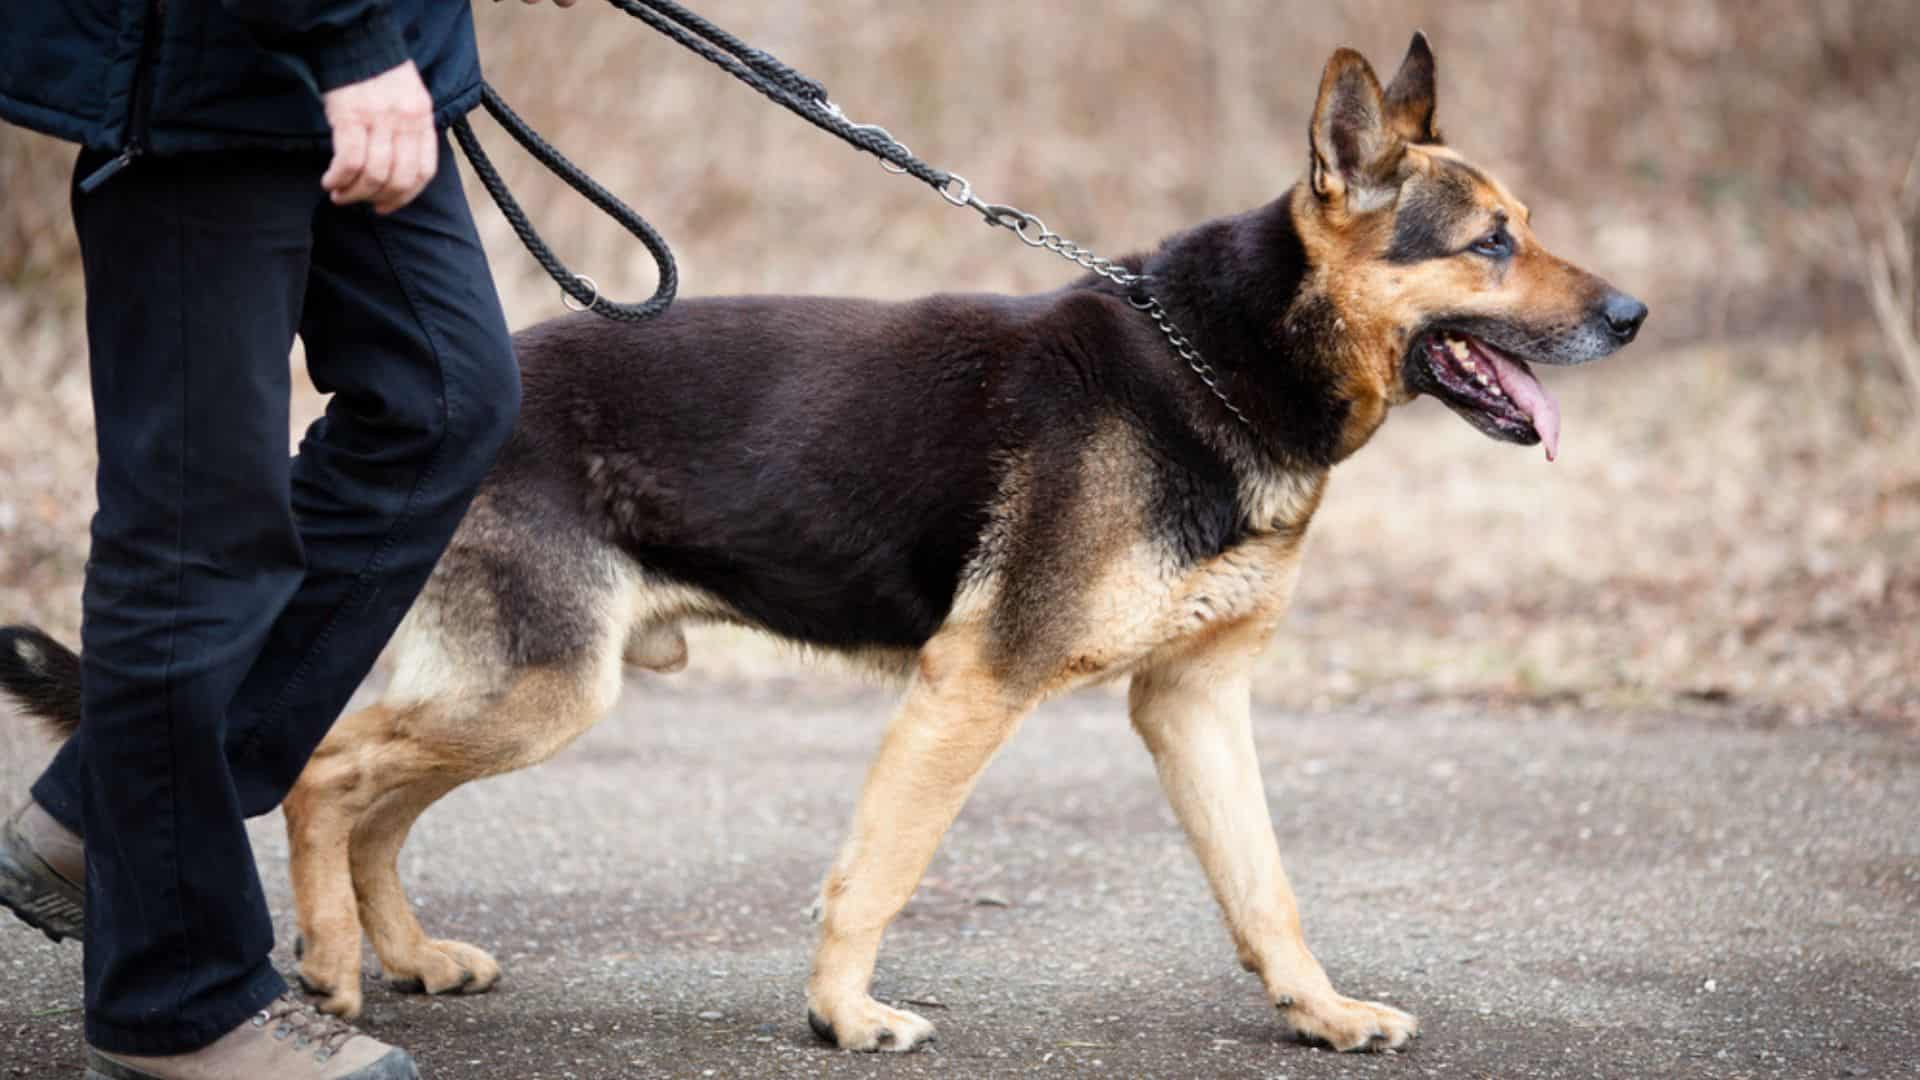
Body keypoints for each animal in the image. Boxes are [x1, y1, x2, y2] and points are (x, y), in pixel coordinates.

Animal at [3, 35, 1651, 1053]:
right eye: (1491, 243)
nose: (1635, 314)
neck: (1223, 358)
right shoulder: (971, 687)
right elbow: (878, 869)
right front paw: (846, 1018)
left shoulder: (1194, 705)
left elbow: (1266, 888)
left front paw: (1319, 1012)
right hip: (546, 689)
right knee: (331, 771)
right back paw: (337, 967)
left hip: (530, 692)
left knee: (369, 797)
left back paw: (400, 952)